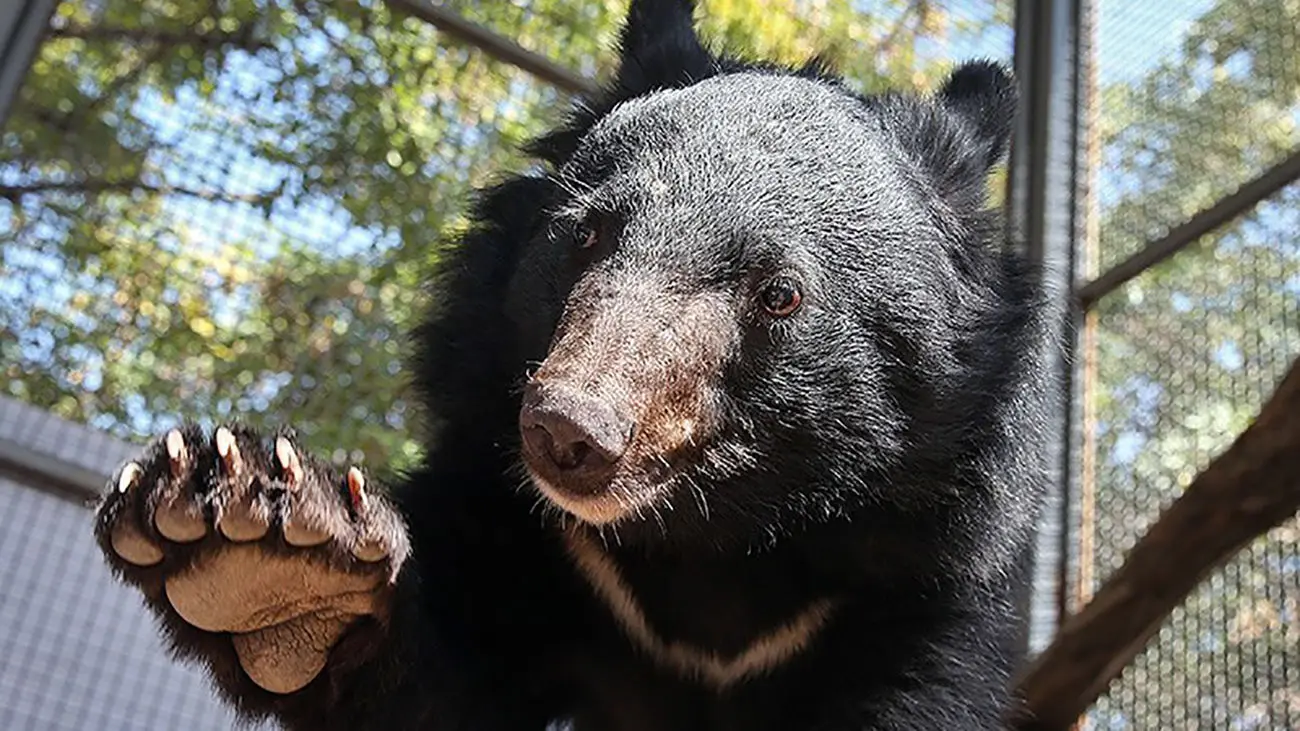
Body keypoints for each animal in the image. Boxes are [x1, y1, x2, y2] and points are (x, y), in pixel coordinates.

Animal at [91, 1, 1050, 728]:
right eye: (588, 232)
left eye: (780, 293)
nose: (568, 432)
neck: (708, 541)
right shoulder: (534, 540)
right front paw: (260, 544)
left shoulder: (920, 589)